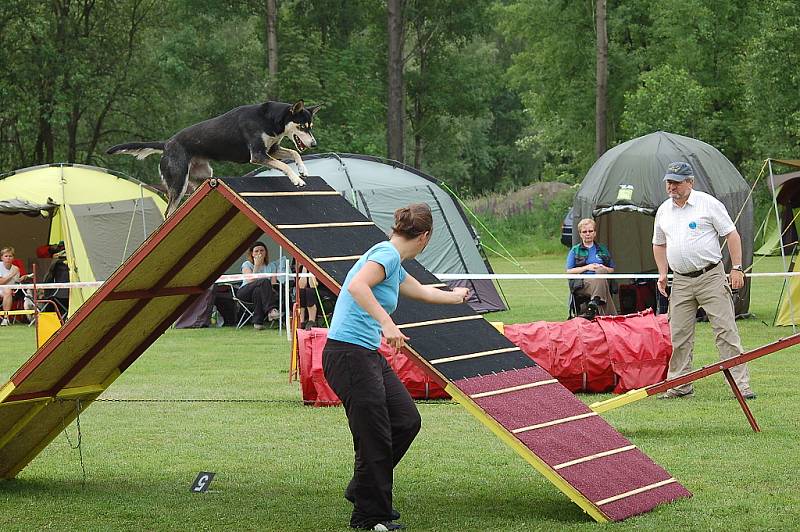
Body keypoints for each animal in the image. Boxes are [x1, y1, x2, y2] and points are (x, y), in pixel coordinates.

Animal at [105, 100, 318, 216]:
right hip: (178, 184)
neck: (269, 120)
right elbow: (284, 165)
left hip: (203, 177)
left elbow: (294, 153)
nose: (314, 144)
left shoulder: (271, 150)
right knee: (168, 212)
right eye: (302, 126)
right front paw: (297, 180)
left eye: (311, 126)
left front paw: (303, 170)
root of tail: (166, 144)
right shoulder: (258, 155)